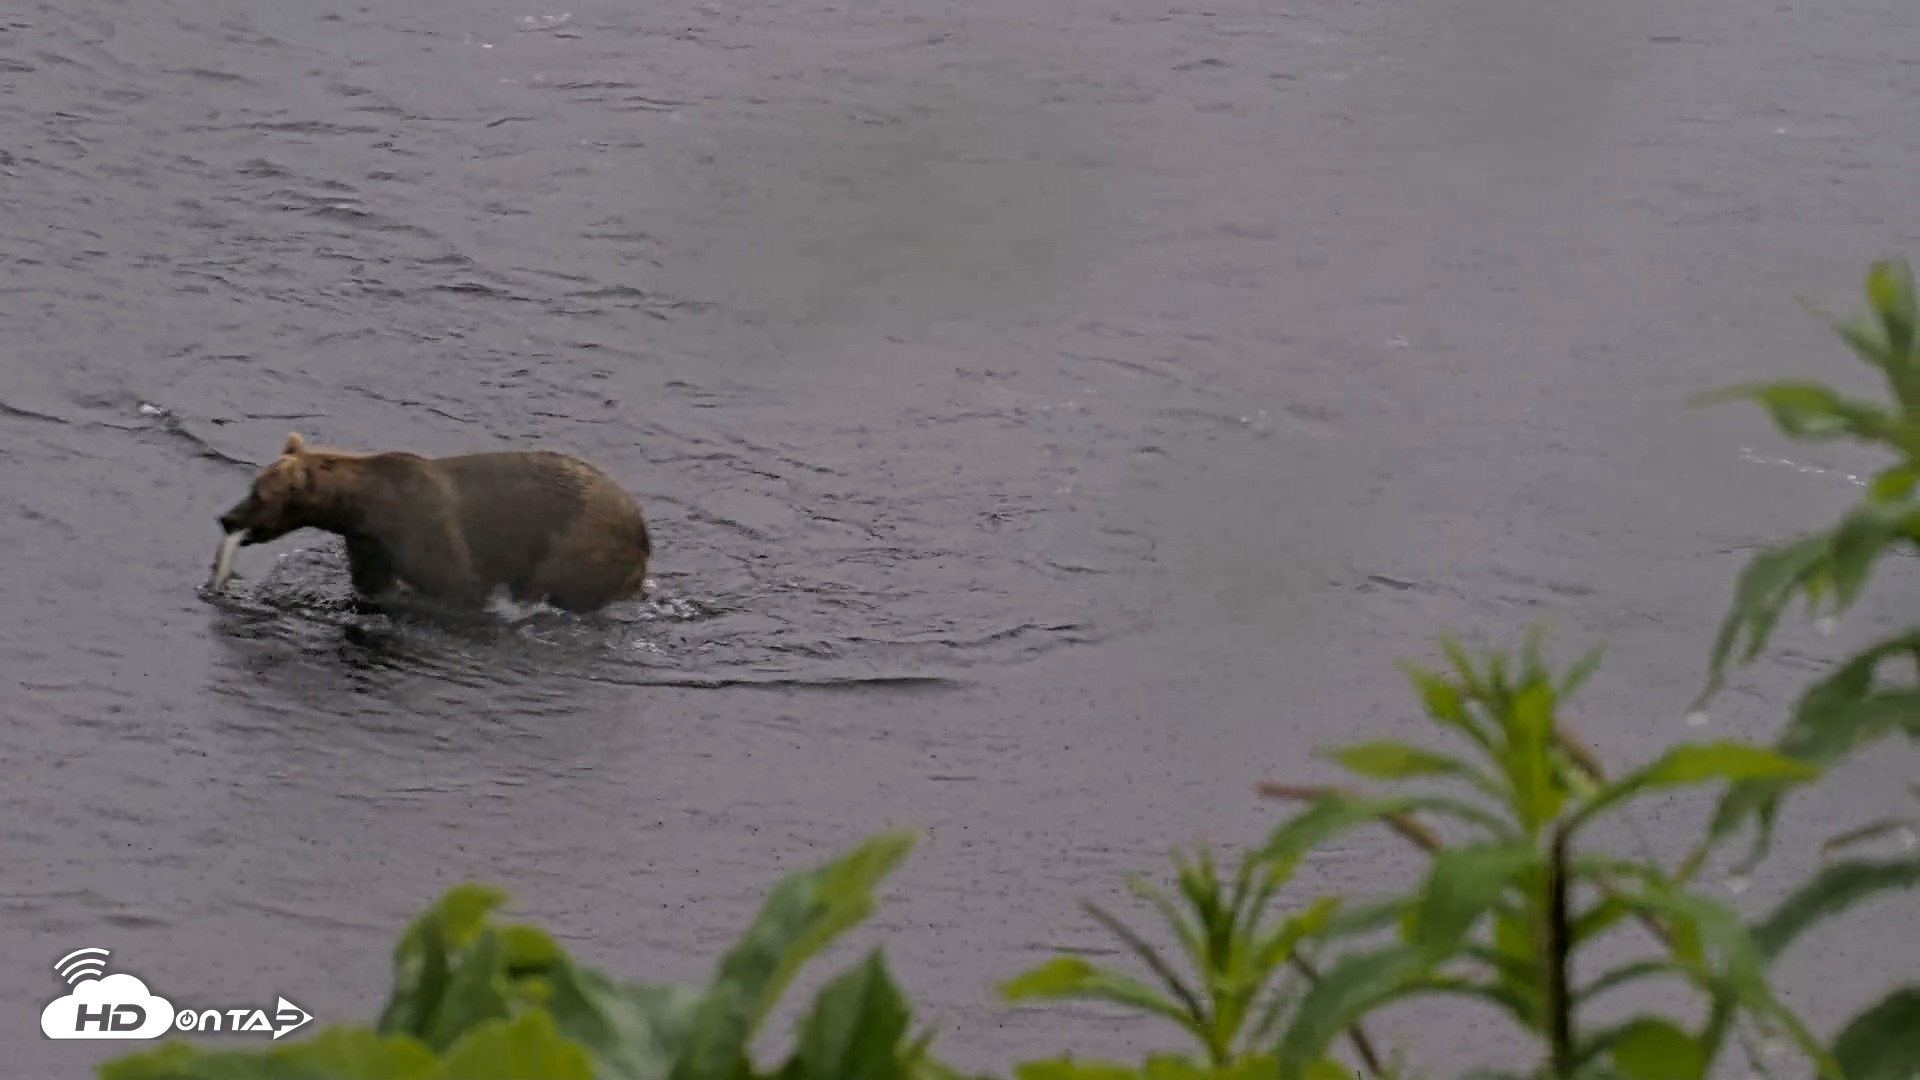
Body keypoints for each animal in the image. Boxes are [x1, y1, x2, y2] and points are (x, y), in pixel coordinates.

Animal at [210, 432, 653, 614]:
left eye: (259, 494)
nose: (227, 517)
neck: (365, 510)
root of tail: (641, 526)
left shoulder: (425, 529)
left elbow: (455, 584)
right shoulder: (370, 545)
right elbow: (373, 584)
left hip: (578, 542)